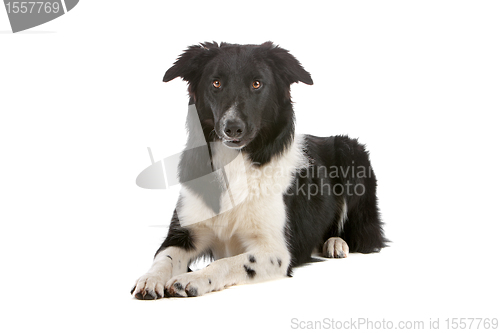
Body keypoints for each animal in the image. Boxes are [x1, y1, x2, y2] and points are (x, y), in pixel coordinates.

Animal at [131, 41, 388, 298]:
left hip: (351, 153)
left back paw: (336, 243)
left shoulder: (276, 252)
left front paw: (194, 278)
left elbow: (226, 263)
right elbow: (163, 258)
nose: (232, 128)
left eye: (257, 84)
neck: (235, 162)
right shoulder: (183, 233)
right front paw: (150, 278)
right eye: (216, 83)